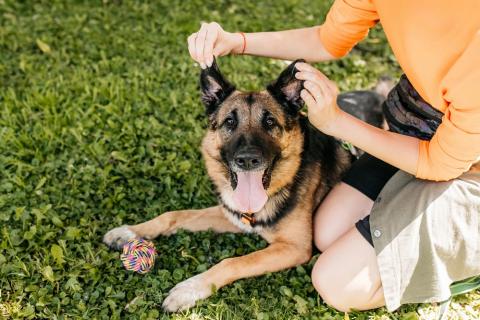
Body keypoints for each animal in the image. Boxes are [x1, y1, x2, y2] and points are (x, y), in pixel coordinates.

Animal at [102, 58, 386, 312]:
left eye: (270, 122)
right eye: (230, 122)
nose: (248, 159)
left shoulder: (294, 248)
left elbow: (232, 262)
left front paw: (189, 289)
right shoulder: (232, 216)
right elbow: (173, 215)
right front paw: (130, 231)